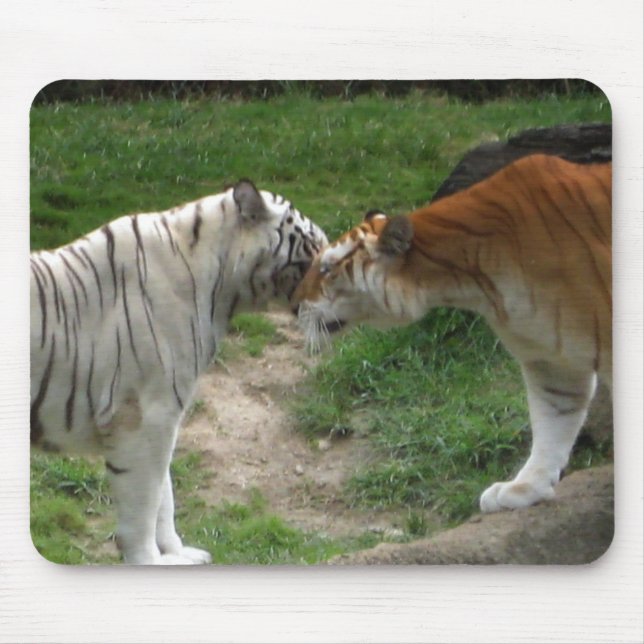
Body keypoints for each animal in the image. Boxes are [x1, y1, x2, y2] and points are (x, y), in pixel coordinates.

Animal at [30, 180, 327, 564]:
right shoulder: (144, 418)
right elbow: (143, 506)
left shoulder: (163, 417)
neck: (221, 291)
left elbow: (164, 494)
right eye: (315, 247)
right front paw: (148, 561)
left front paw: (177, 553)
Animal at [293, 154, 611, 513]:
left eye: (327, 268)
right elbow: (552, 423)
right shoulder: (549, 358)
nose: (293, 306)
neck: (475, 279)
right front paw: (524, 488)